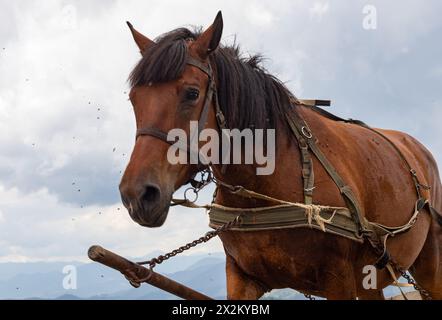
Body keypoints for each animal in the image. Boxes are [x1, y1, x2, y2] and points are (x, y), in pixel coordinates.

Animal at [119, 12, 442, 300]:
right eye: (134, 99)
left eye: (191, 93)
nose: (137, 194)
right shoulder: (241, 276)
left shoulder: (339, 279)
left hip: (429, 262)